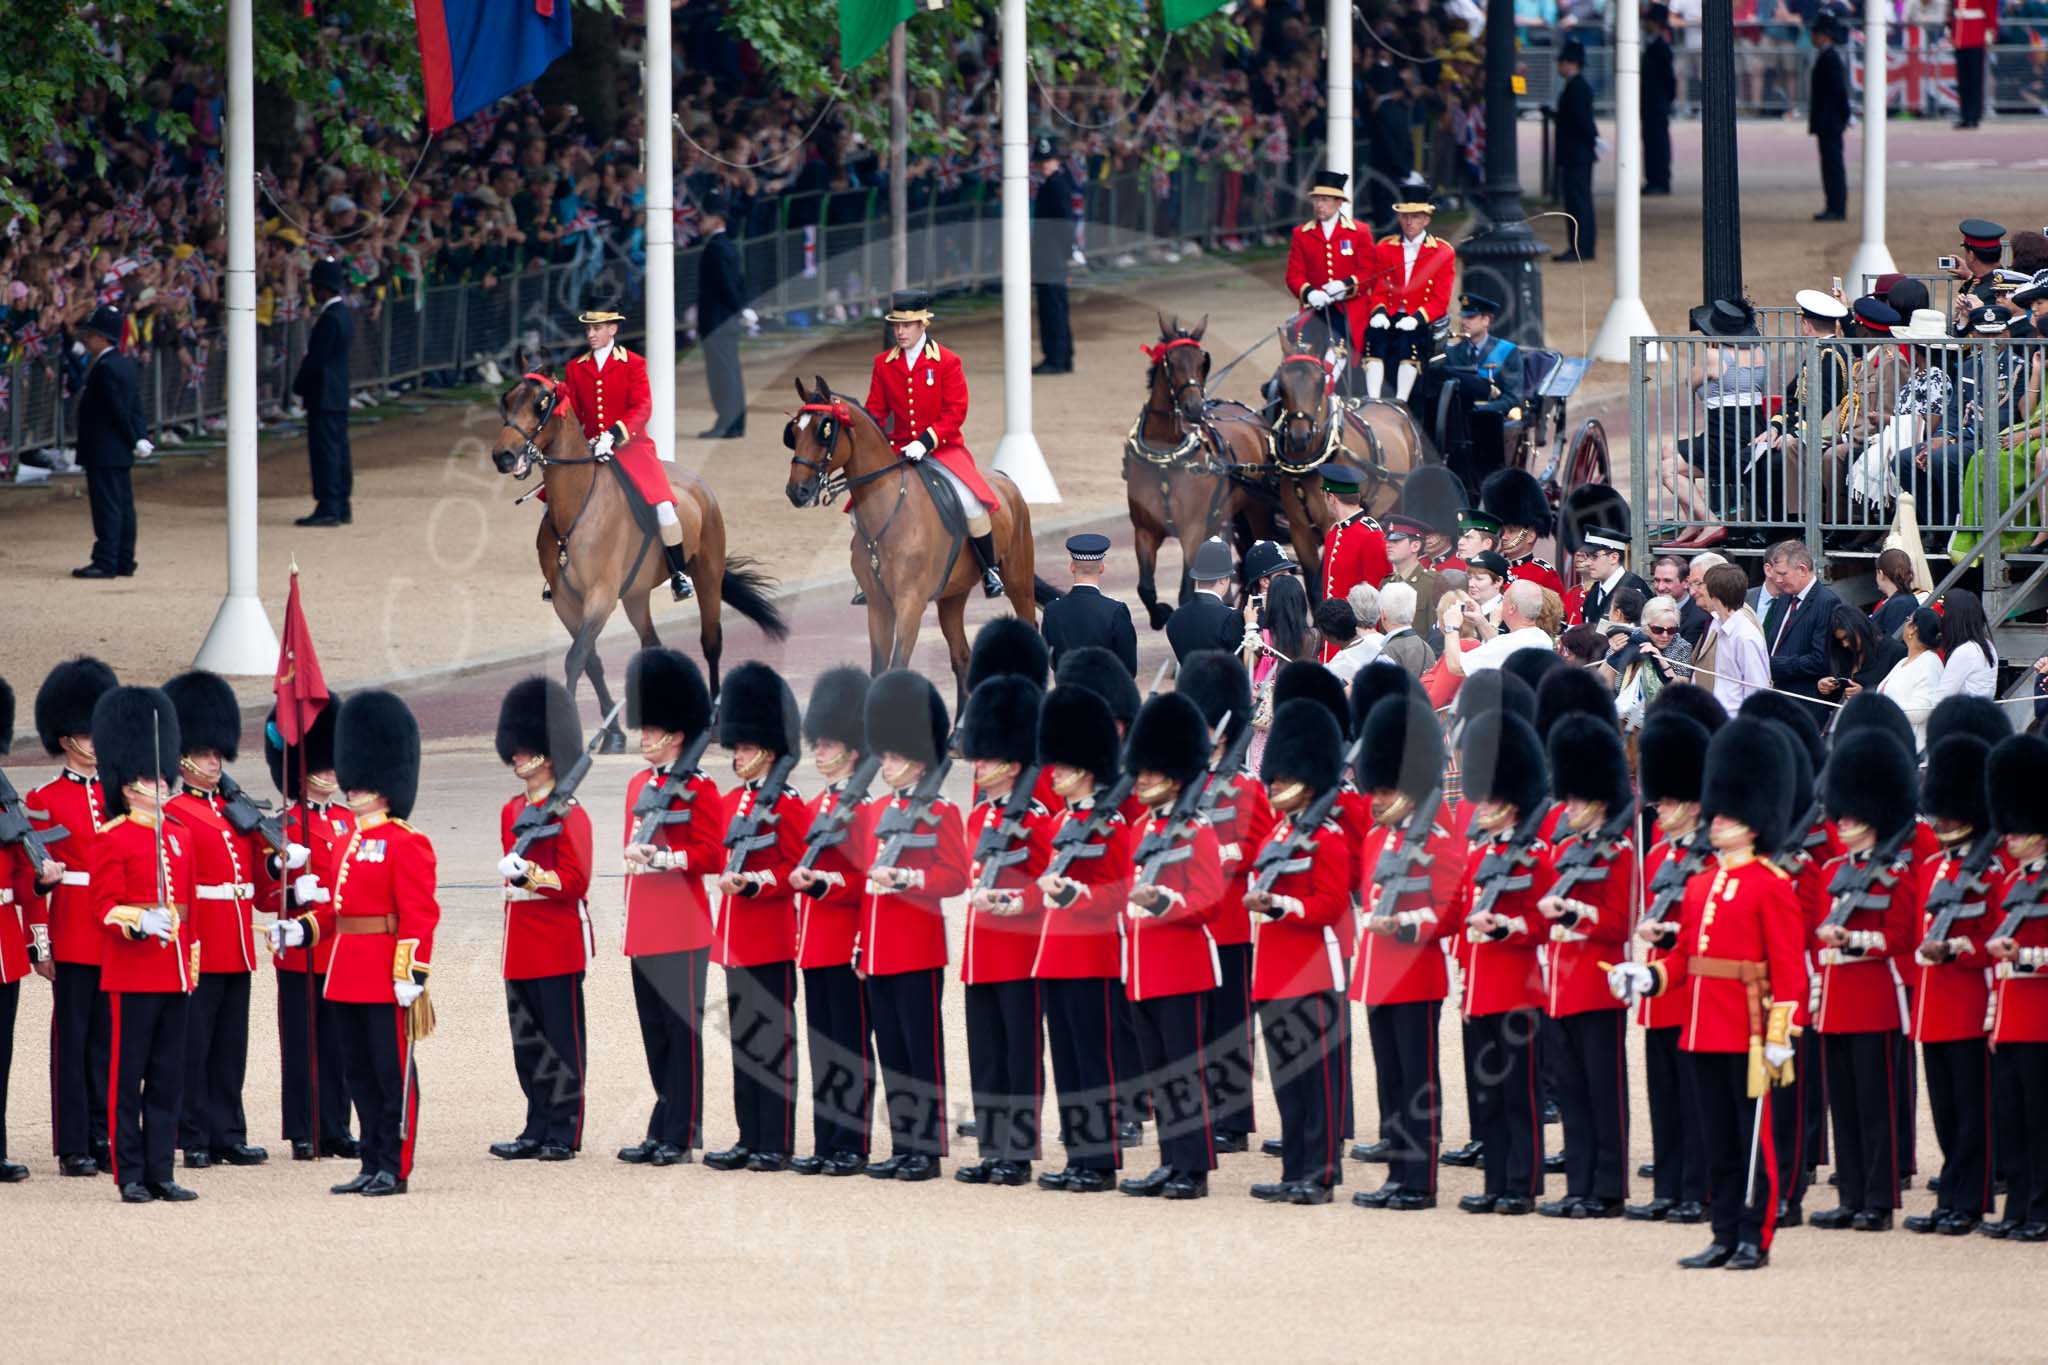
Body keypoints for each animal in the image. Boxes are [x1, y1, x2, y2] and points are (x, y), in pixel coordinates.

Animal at [491, 368, 786, 749]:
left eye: (541, 403)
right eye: (508, 400)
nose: (503, 455)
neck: (576, 506)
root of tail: (697, 482)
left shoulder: (600, 597)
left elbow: (575, 658)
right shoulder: (565, 601)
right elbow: (590, 660)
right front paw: (613, 733)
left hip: (707, 574)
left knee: (711, 642)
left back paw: (714, 723)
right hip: (635, 595)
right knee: (652, 645)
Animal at [778, 378, 1048, 712]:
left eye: (824, 429)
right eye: (794, 431)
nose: (797, 491)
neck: (891, 508)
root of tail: (1004, 479)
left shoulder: (910, 604)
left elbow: (896, 670)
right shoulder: (879, 605)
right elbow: (878, 671)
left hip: (1018, 582)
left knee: (1029, 630)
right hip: (952, 596)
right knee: (961, 656)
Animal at [1130, 313, 1269, 630]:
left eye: (1202, 361)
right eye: (1170, 361)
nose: (1194, 408)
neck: (1166, 457)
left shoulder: (1191, 529)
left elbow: (1185, 592)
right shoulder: (1144, 529)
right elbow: (1145, 588)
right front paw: (1159, 614)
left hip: (1254, 511)